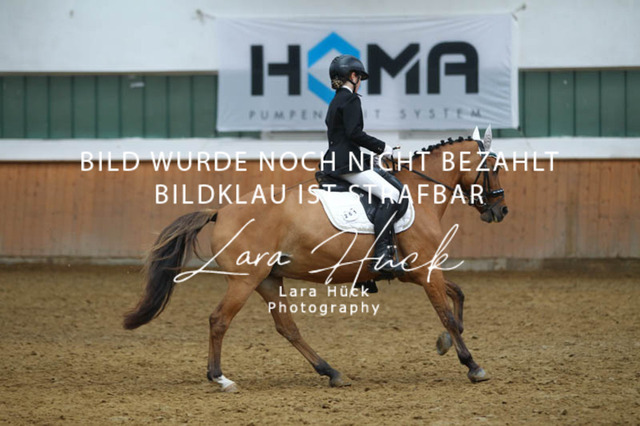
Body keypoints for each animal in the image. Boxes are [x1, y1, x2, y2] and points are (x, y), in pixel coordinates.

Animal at [123, 127, 508, 392]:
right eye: (494, 167)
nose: (501, 211)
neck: (420, 191)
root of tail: (221, 212)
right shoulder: (427, 271)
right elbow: (448, 314)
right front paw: (472, 364)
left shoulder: (418, 271)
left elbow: (458, 297)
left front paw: (445, 344)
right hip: (245, 280)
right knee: (219, 320)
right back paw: (221, 379)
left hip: (268, 279)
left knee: (287, 327)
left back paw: (331, 372)